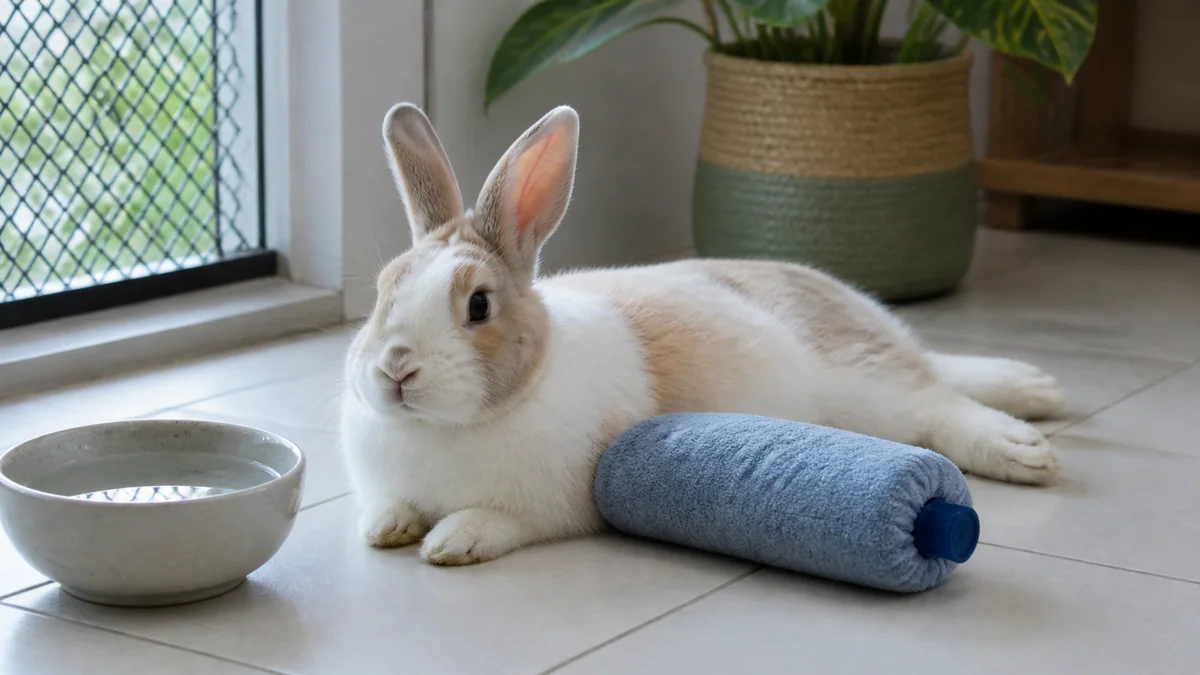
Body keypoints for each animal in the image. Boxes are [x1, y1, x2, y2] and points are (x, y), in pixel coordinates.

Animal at [340, 103, 1067, 566]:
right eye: (382, 292)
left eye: (479, 306)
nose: (396, 369)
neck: (444, 429)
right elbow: (387, 508)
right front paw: (387, 528)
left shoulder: (546, 504)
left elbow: (495, 521)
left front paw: (450, 542)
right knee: (943, 374)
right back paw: (1038, 389)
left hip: (867, 388)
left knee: (938, 403)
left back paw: (1023, 448)